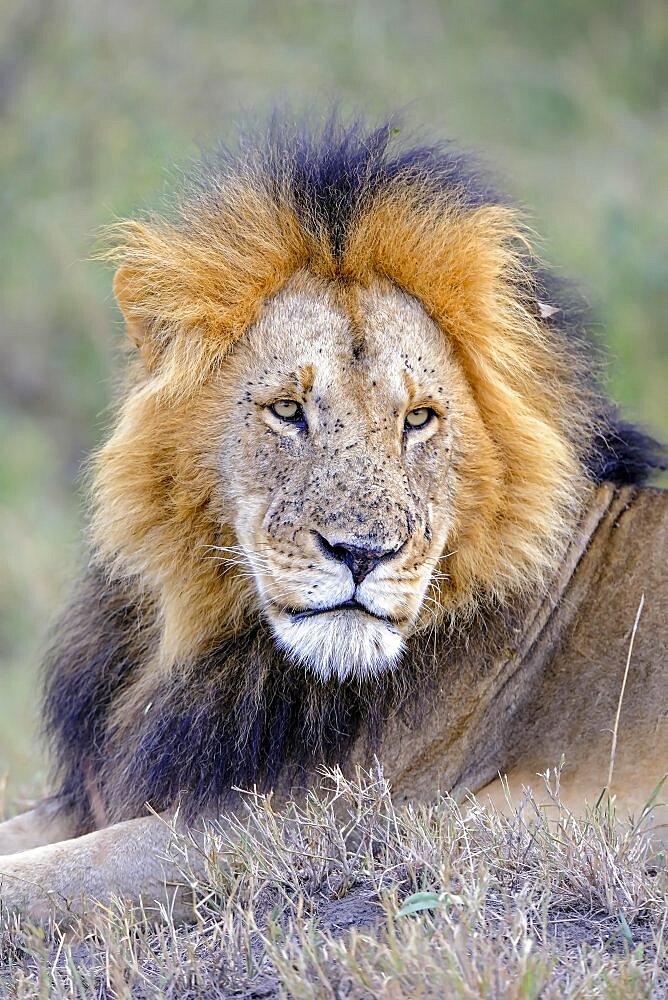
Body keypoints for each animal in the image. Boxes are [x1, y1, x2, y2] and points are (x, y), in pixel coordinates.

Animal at [1, 115, 668, 920]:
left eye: (418, 419)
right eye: (288, 410)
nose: (362, 553)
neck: (189, 635)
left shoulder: (278, 828)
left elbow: (39, 880)